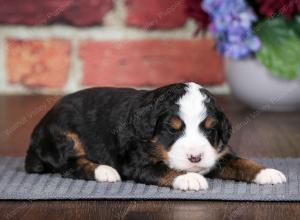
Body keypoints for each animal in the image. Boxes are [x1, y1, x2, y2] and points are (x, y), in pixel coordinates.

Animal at [25, 82, 286, 191]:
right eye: (173, 129)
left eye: (209, 129)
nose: (195, 157)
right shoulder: (138, 163)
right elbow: (165, 169)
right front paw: (189, 178)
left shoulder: (218, 153)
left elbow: (242, 162)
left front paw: (267, 172)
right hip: (63, 135)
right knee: (69, 164)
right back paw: (105, 171)